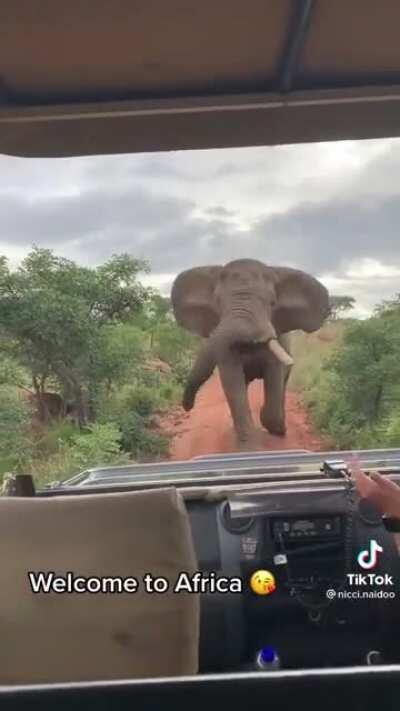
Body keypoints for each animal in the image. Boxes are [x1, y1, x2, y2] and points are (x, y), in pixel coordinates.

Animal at [171, 258, 330, 448]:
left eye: (272, 303)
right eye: (217, 303)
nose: (187, 407)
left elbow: (274, 373)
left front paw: (276, 430)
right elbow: (233, 382)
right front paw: (248, 447)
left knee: (282, 383)